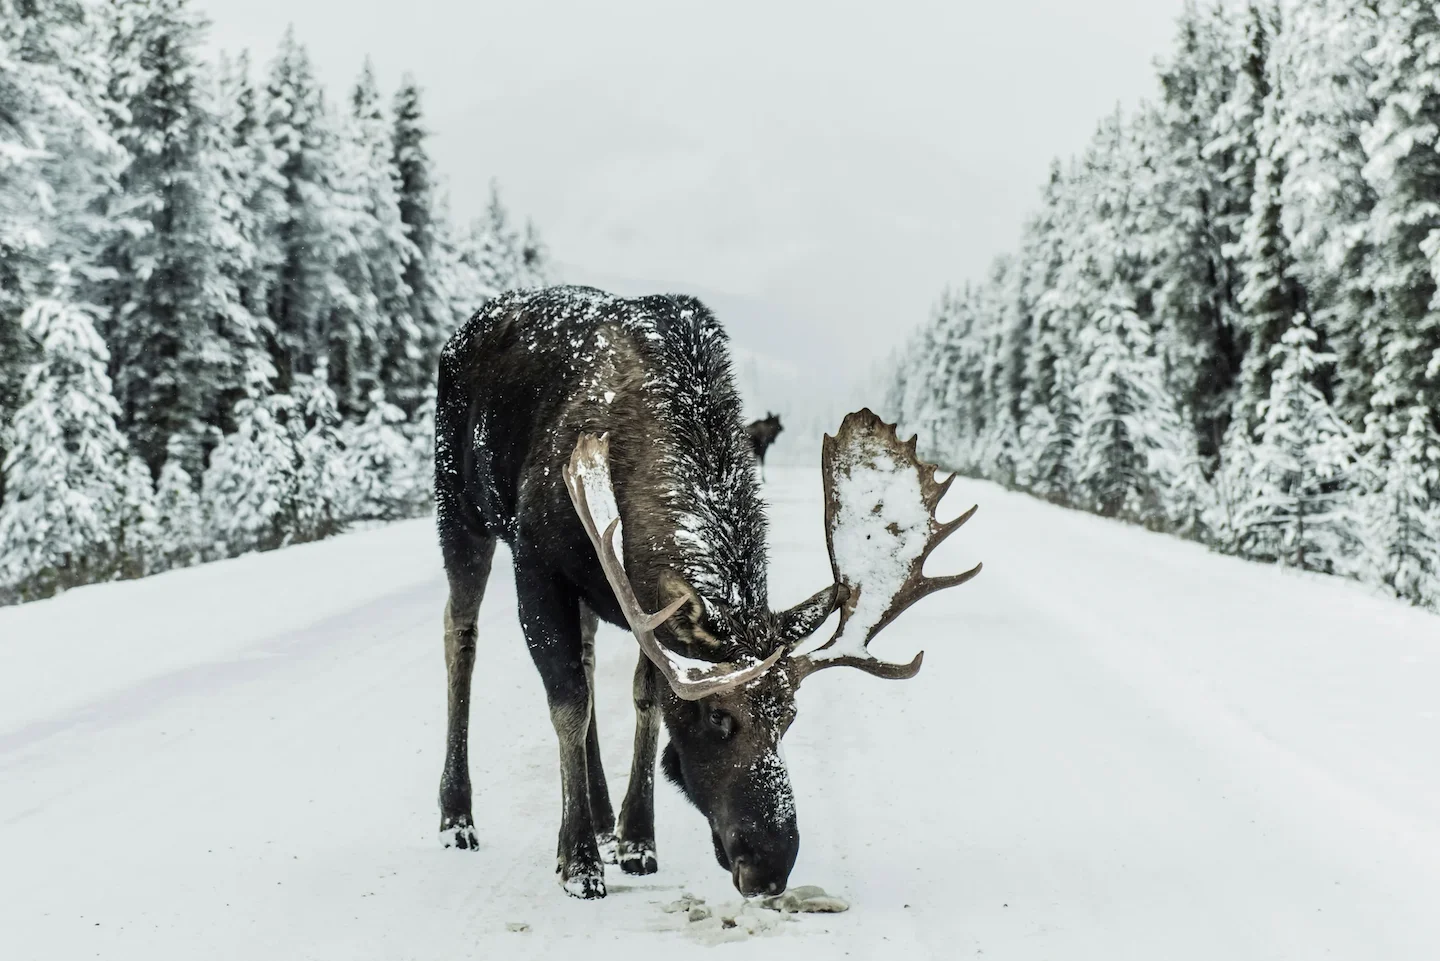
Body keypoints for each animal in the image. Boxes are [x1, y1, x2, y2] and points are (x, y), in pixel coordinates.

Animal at [433, 286, 980, 899]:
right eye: (719, 717)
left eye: (790, 716)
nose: (770, 867)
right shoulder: (537, 561)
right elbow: (568, 703)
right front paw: (577, 862)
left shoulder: (638, 601)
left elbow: (645, 698)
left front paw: (636, 838)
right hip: (459, 507)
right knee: (461, 634)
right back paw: (457, 817)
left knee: (588, 657)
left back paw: (601, 815)